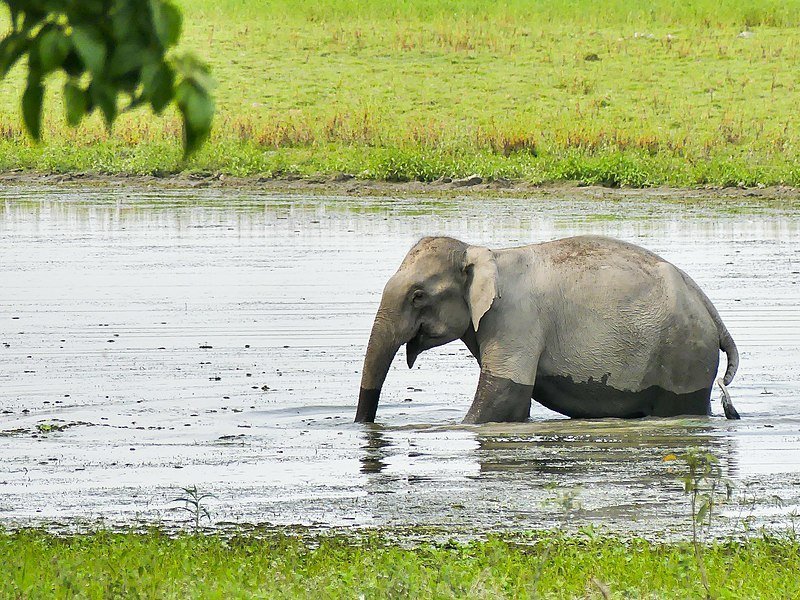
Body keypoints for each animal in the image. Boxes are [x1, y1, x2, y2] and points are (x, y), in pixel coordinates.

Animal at [354, 233, 740, 422]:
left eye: (418, 296)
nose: (365, 425)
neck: (483, 252)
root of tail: (712, 312)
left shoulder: (515, 319)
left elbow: (502, 397)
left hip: (684, 356)